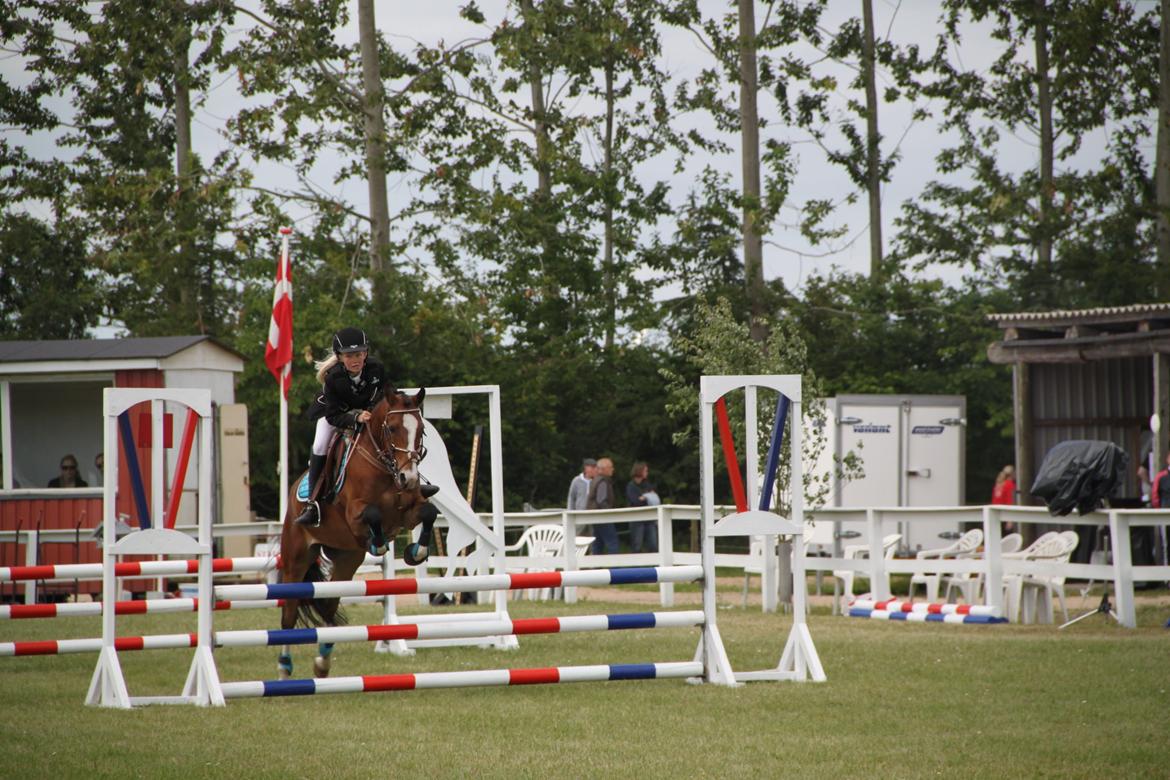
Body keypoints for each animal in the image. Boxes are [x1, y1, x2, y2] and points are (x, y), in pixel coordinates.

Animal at [278, 388, 438, 679]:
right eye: (392, 428)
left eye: (421, 430)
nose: (408, 477)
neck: (384, 465)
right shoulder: (354, 514)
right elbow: (373, 515)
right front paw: (378, 545)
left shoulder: (409, 512)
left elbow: (429, 512)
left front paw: (416, 552)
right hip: (296, 560)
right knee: (289, 614)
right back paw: (284, 669)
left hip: (347, 560)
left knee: (329, 607)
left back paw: (322, 664)